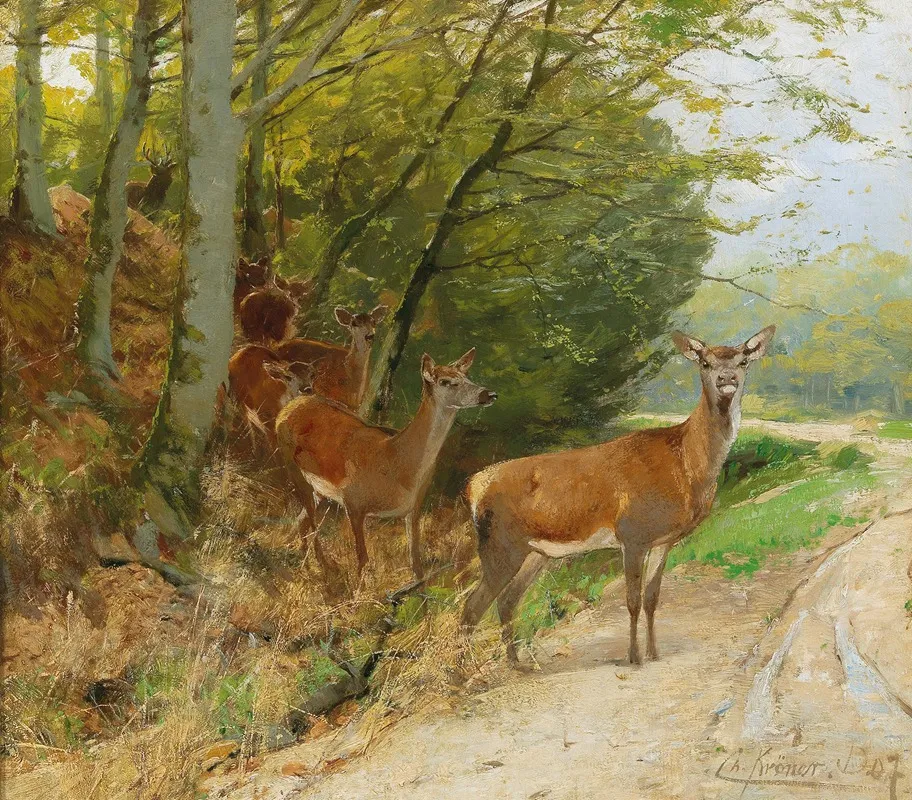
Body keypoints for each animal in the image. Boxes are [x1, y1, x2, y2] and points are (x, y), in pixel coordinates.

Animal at [275, 349, 496, 580]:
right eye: (445, 381)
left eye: (467, 376)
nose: (489, 394)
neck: (397, 461)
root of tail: (290, 406)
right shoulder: (353, 501)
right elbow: (362, 559)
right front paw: (358, 589)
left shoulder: (414, 507)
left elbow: (416, 563)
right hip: (291, 464)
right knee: (311, 524)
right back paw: (322, 567)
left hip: (319, 488)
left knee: (302, 520)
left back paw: (307, 563)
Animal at [460, 326, 776, 666]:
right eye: (705, 362)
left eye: (743, 361)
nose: (726, 378)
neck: (686, 467)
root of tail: (473, 485)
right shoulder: (632, 533)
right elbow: (632, 600)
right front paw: (634, 656)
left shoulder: (663, 540)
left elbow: (652, 599)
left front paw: (654, 652)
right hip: (500, 543)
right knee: (472, 607)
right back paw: (463, 672)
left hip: (536, 552)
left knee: (506, 600)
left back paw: (517, 663)